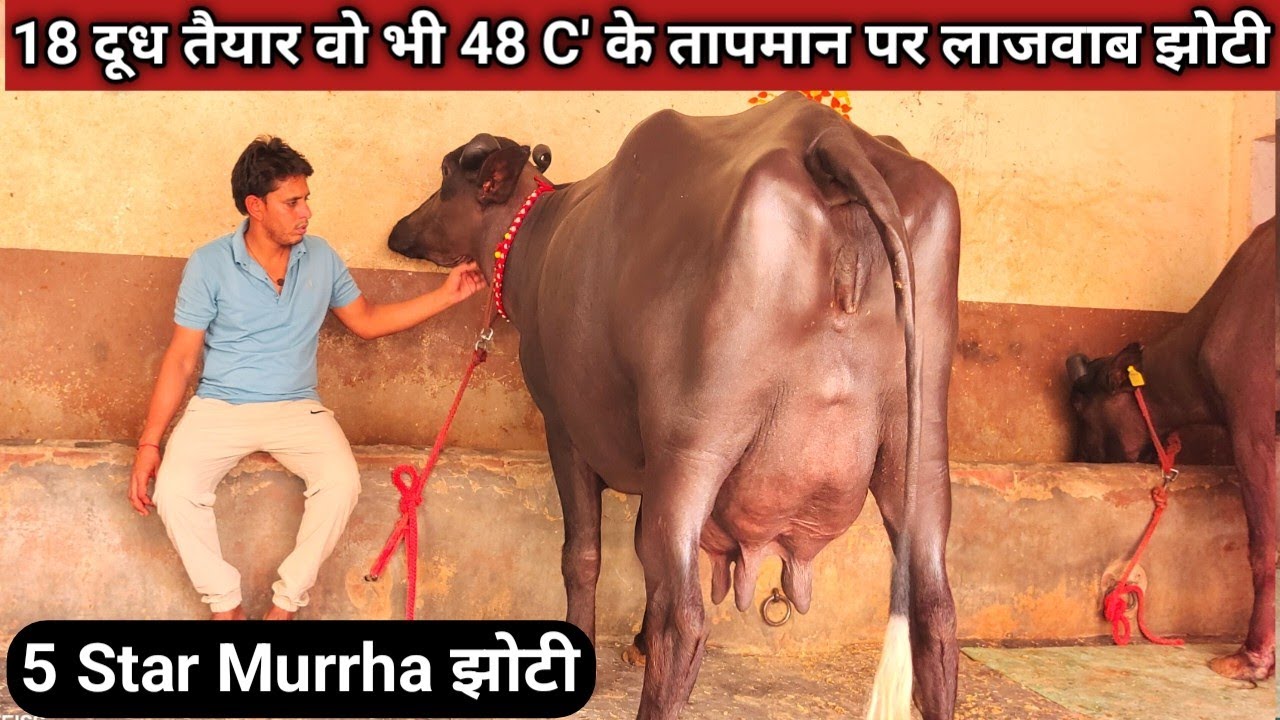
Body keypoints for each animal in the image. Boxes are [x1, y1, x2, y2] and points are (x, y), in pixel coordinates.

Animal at [388, 92, 962, 720]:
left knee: (685, 617)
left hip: (695, 448)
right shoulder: (647, 462)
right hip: (918, 450)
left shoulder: (565, 430)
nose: (398, 231)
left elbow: (583, 554)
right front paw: (636, 642)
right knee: (935, 612)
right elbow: (642, 551)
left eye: (446, 178)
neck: (539, 241)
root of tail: (827, 137)